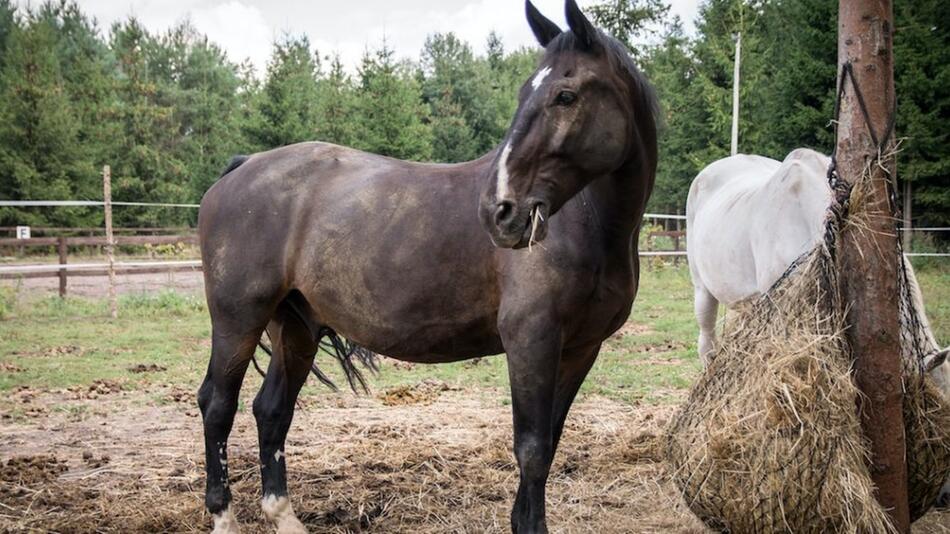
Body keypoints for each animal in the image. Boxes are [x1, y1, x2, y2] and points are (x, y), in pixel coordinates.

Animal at [199, 2, 660, 532]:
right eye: (525, 92)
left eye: (566, 95)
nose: (499, 212)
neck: (589, 224)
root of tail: (242, 166)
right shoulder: (532, 341)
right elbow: (532, 448)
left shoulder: (581, 349)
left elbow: (550, 440)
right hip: (238, 319)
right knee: (217, 405)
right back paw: (224, 516)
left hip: (294, 326)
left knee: (271, 409)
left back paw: (284, 515)